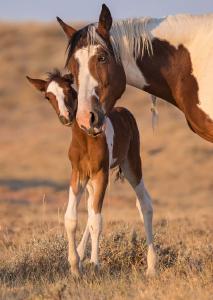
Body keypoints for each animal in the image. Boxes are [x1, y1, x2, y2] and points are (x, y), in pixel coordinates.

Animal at [26, 70, 156, 276]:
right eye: (48, 96)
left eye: (69, 90)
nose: (66, 117)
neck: (86, 140)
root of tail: (125, 111)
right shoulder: (78, 174)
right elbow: (72, 218)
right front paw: (74, 266)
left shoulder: (101, 174)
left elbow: (97, 220)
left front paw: (94, 264)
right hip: (91, 182)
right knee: (90, 207)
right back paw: (80, 254)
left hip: (131, 165)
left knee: (144, 204)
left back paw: (151, 267)